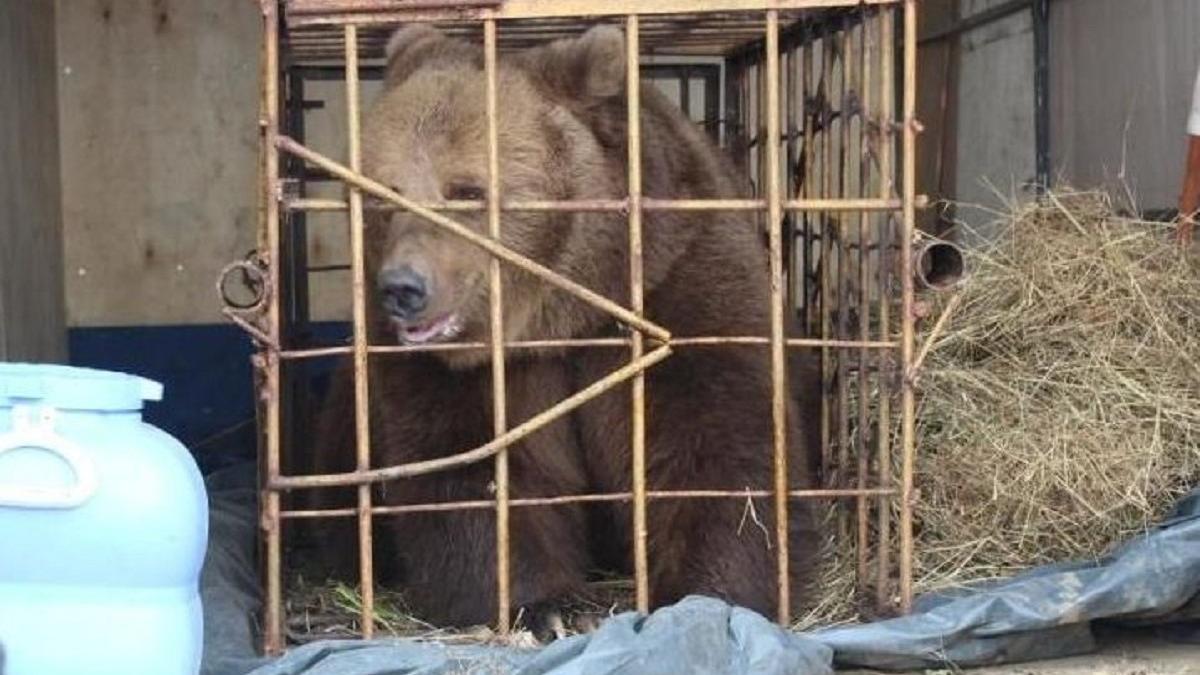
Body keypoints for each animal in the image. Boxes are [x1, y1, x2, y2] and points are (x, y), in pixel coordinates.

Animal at [292, 21, 825, 629]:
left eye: (466, 190)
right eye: (384, 195)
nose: (404, 288)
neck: (562, 313)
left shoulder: (676, 286)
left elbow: (712, 444)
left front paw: (707, 594)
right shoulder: (459, 372)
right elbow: (474, 468)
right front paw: (543, 606)